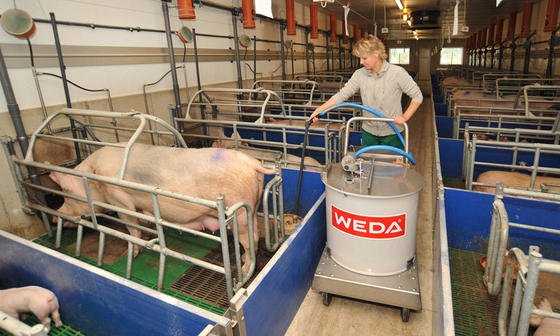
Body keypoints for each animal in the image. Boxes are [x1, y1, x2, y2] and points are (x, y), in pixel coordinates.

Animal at [49, 143, 276, 274]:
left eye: (66, 192)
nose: (54, 217)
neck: (94, 178)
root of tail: (252, 163)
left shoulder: (119, 200)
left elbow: (131, 226)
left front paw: (133, 253)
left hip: (240, 212)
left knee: (251, 239)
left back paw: (245, 269)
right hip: (253, 206)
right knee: (255, 234)